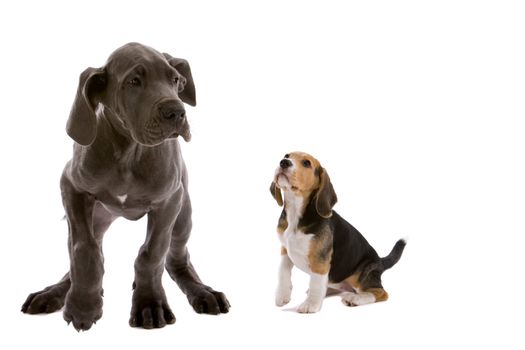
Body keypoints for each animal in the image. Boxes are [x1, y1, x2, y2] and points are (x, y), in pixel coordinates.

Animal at [21, 42, 229, 330]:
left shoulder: (169, 201)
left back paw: (203, 292)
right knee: (82, 252)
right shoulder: (71, 186)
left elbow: (151, 254)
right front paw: (83, 306)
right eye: (133, 81)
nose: (177, 112)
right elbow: (84, 250)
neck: (129, 151)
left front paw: (150, 304)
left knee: (176, 259)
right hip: (96, 217)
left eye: (175, 80)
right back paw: (53, 292)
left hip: (183, 217)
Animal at [268, 152, 408, 314]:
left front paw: (311, 304)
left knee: (381, 293)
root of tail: (380, 261)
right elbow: (283, 272)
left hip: (360, 275)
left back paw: (355, 298)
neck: (296, 211)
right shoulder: (285, 250)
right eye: (287, 155)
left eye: (306, 163)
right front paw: (282, 295)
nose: (284, 162)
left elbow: (316, 282)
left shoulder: (320, 259)